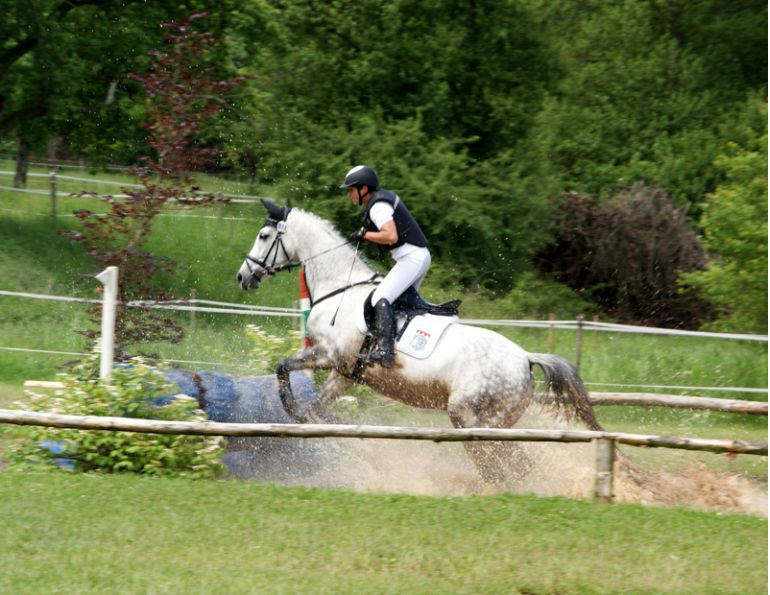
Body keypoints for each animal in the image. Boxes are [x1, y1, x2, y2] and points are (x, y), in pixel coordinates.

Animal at [236, 199, 604, 483]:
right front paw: (319, 423)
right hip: (497, 422)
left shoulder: (331, 354)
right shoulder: (345, 374)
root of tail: (525, 358)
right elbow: (317, 404)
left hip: (471, 418)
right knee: (514, 463)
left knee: (499, 464)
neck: (340, 285)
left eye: (263, 236)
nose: (243, 277)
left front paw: (293, 410)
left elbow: (283, 367)